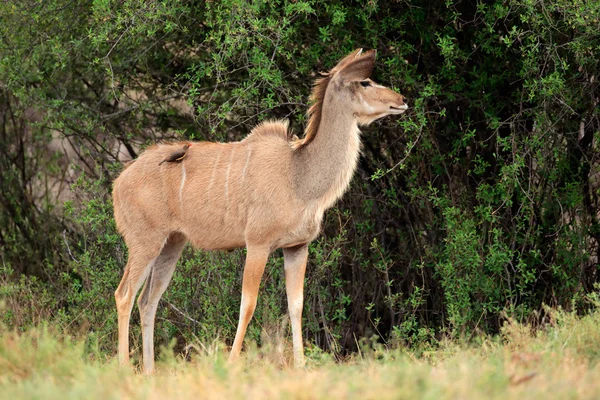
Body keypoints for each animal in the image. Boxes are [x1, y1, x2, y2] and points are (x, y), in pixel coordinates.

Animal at [113, 48, 408, 374]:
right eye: (365, 82)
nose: (401, 99)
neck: (298, 175)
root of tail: (118, 183)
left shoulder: (297, 247)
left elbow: (296, 304)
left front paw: (301, 365)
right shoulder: (257, 243)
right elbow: (248, 302)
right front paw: (231, 363)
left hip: (171, 244)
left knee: (148, 300)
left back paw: (150, 371)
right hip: (144, 242)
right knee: (124, 294)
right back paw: (125, 367)